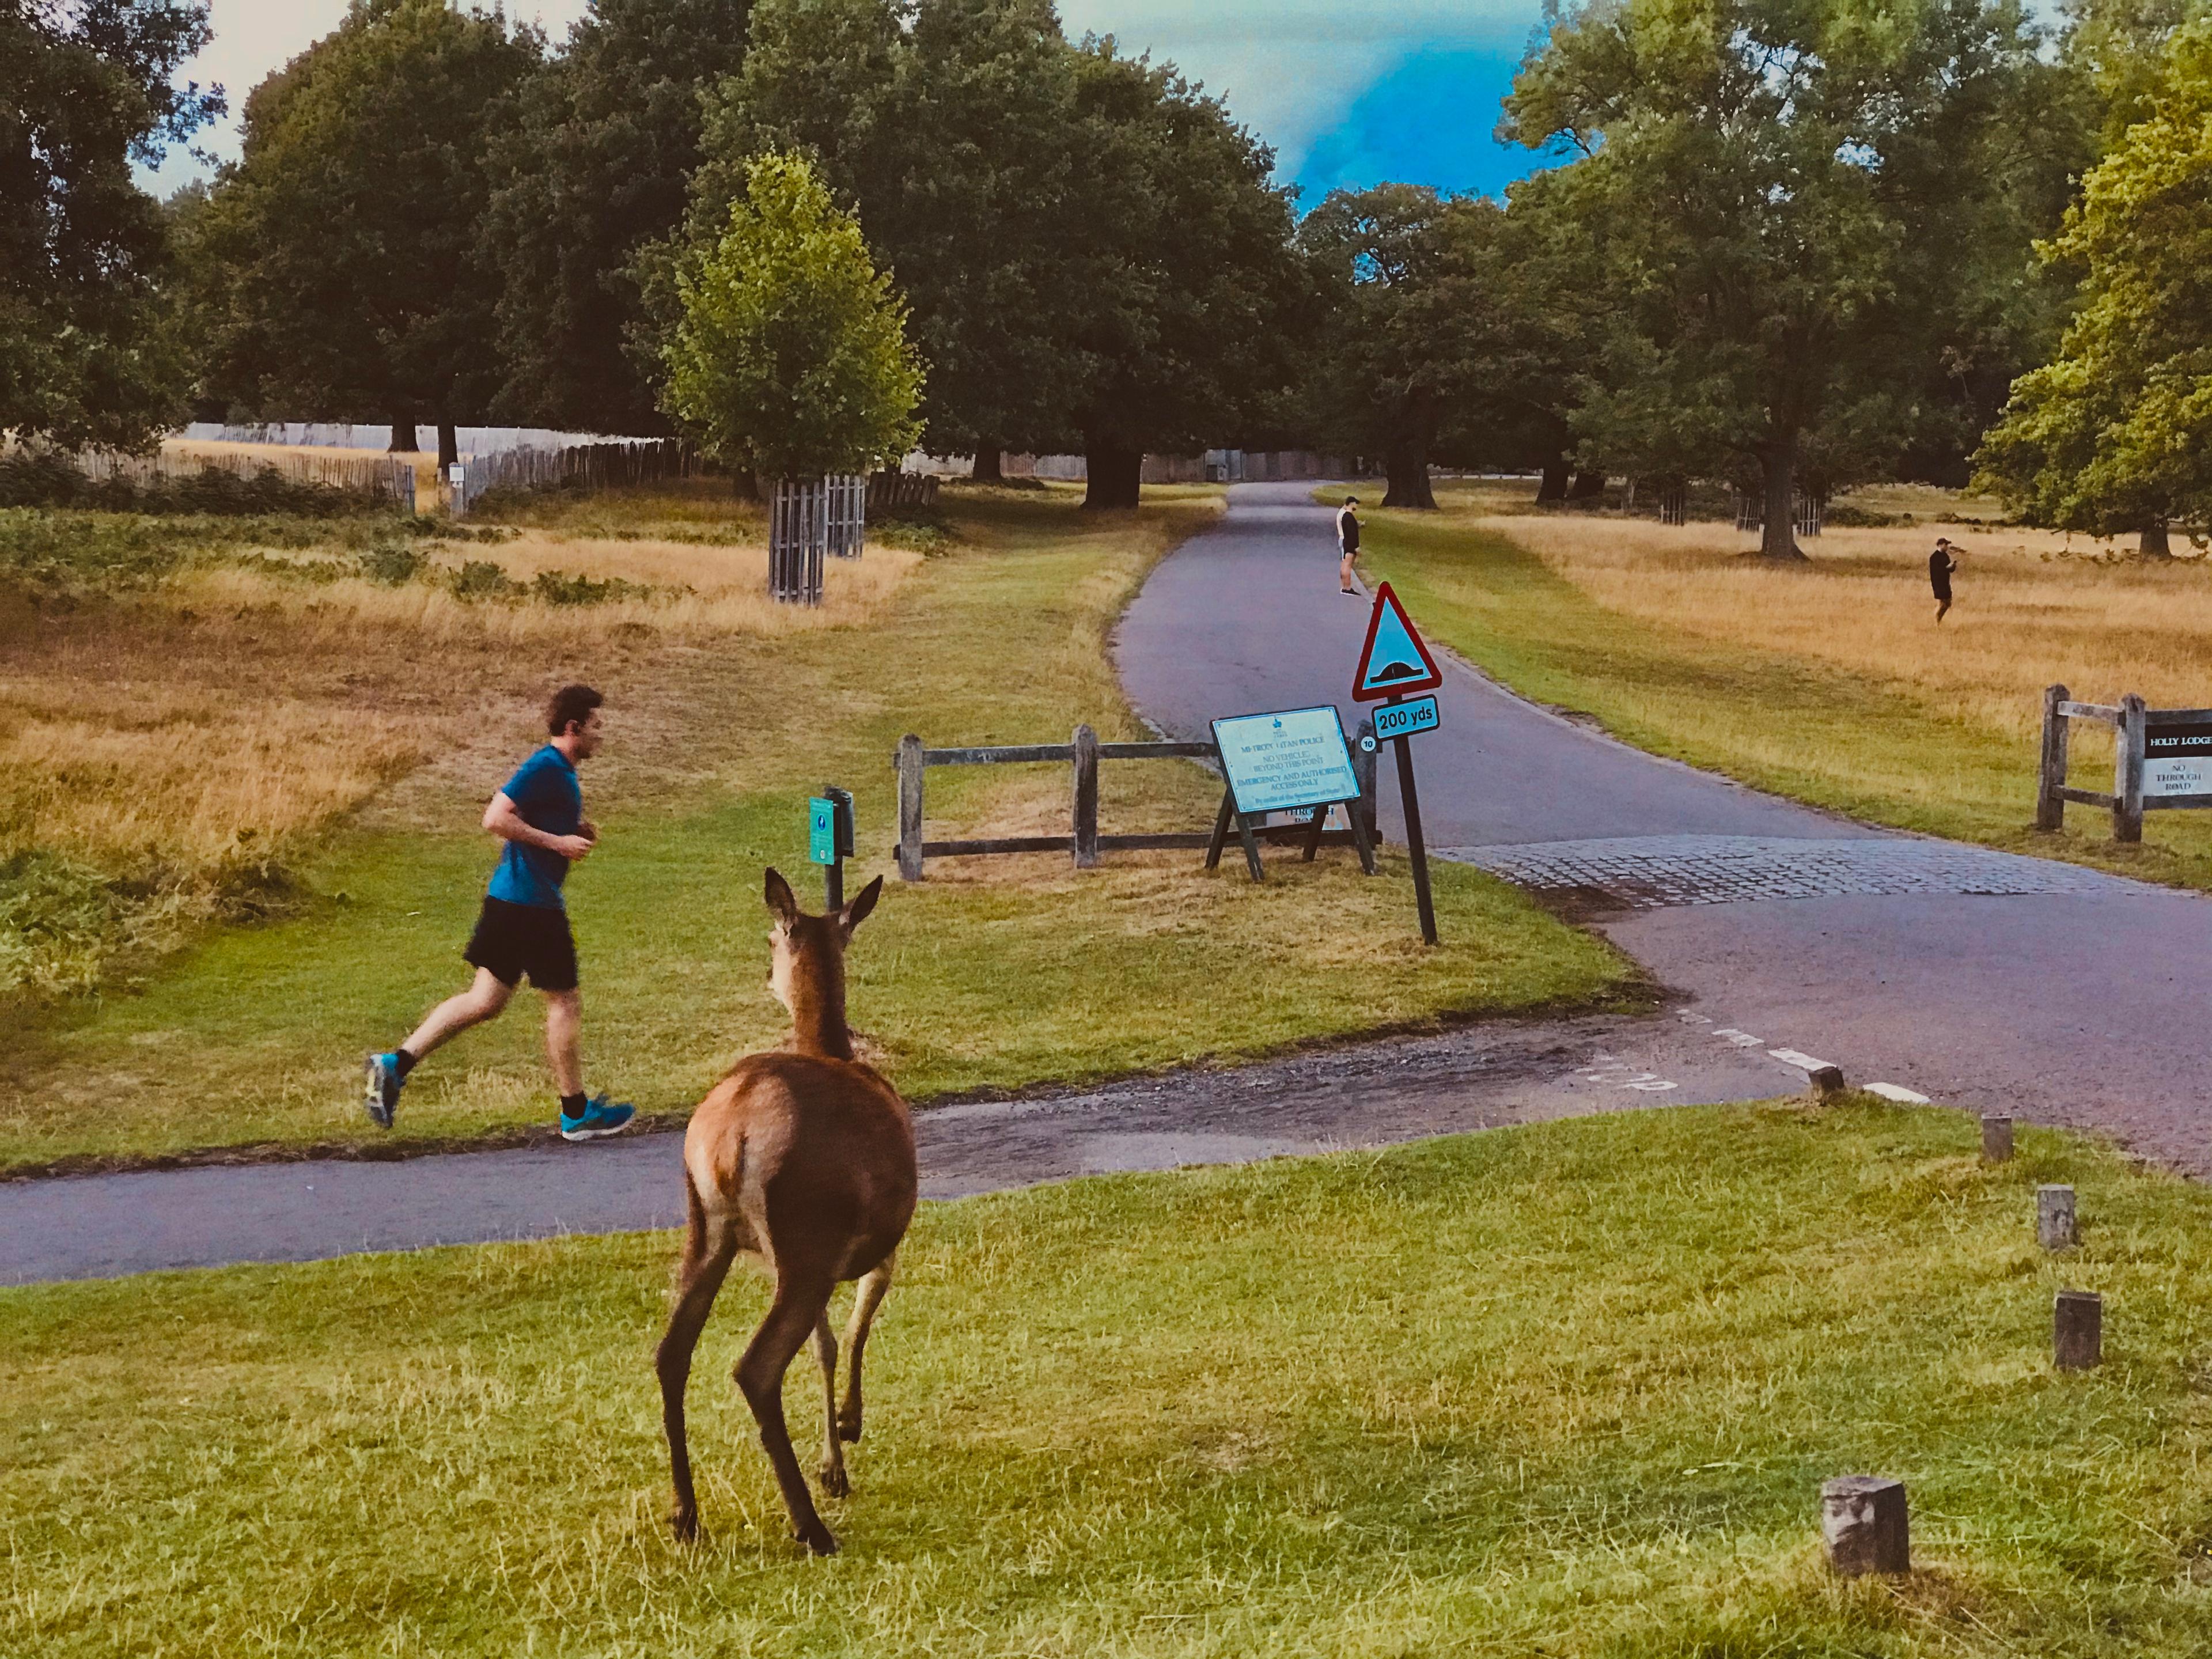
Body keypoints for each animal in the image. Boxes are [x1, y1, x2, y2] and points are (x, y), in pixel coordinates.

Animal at [650, 871, 911, 1557]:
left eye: (772, 938)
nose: (763, 970)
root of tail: (733, 1134)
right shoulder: (880, 1239)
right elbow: (858, 1320)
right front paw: (848, 1426)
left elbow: (825, 1343)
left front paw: (833, 1464)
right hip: (807, 1228)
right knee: (756, 1369)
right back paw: (810, 1528)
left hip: (708, 1228)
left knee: (671, 1354)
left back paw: (686, 1514)